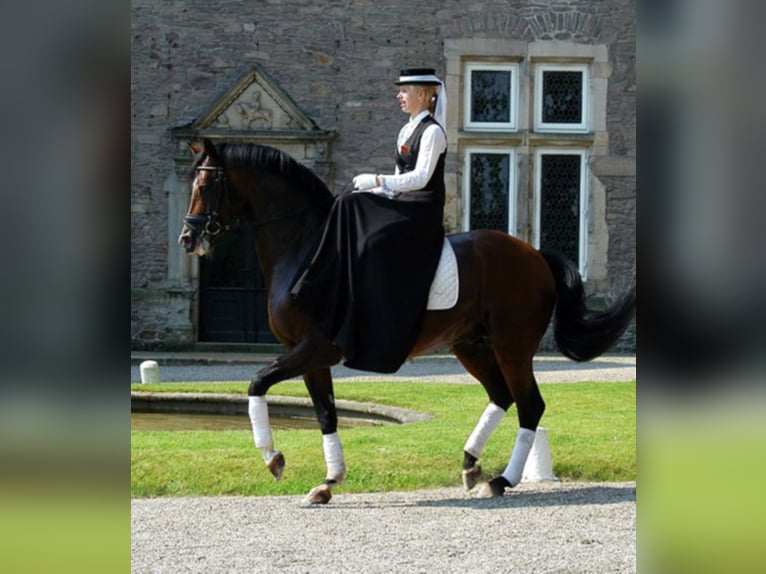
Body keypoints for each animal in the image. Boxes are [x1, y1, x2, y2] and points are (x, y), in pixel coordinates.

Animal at [178, 138, 636, 504]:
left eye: (204, 185)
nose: (187, 238)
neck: (304, 246)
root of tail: (535, 254)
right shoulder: (308, 355)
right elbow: (325, 414)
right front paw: (327, 482)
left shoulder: (315, 349)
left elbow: (256, 382)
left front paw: (273, 458)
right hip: (471, 345)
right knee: (502, 396)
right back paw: (471, 464)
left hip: (513, 345)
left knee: (530, 404)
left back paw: (502, 479)